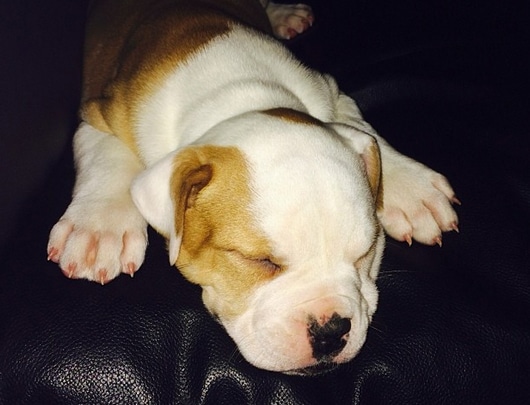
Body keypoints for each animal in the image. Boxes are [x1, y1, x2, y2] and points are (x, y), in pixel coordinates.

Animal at [47, 0, 456, 376]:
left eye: (366, 252)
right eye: (259, 261)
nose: (330, 330)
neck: (241, 95)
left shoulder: (333, 94)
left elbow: (364, 130)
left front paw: (412, 189)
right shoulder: (100, 112)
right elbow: (107, 155)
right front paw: (99, 228)